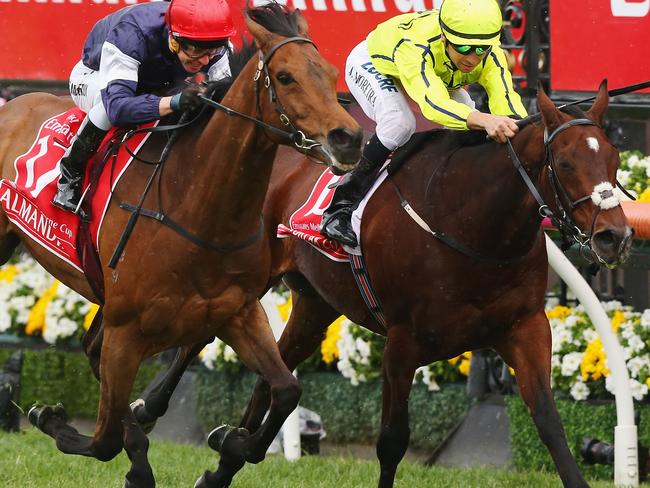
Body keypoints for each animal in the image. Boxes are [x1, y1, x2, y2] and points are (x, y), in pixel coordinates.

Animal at [0, 4, 362, 488]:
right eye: (285, 77)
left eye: (330, 72)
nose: (350, 138)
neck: (197, 207)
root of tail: (14, 103)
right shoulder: (126, 327)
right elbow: (104, 438)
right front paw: (48, 416)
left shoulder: (237, 312)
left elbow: (287, 389)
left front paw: (231, 447)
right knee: (103, 104)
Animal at [135, 82, 628, 486]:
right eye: (565, 163)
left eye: (614, 158)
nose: (615, 236)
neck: (470, 224)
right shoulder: (401, 342)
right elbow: (392, 441)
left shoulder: (524, 328)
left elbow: (549, 422)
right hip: (243, 280)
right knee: (196, 341)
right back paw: (149, 408)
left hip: (316, 305)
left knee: (273, 380)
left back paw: (226, 456)